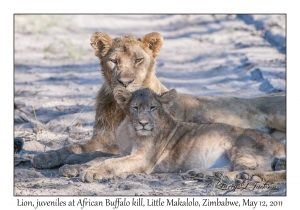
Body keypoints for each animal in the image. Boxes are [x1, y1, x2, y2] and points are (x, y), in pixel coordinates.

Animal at [31, 31, 286, 172]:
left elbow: (88, 152)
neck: (119, 106)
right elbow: (73, 146)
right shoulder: (103, 136)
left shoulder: (115, 144)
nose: (125, 82)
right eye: (114, 61)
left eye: (138, 60)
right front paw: (46, 157)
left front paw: (72, 161)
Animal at [59, 86, 286, 182]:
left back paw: (234, 177)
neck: (131, 131)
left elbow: (109, 163)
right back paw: (201, 174)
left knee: (254, 169)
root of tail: (280, 144)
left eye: (152, 108)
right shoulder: (124, 152)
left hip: (240, 148)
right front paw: (71, 168)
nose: (143, 123)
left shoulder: (143, 159)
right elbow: (98, 158)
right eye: (135, 108)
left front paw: (91, 173)